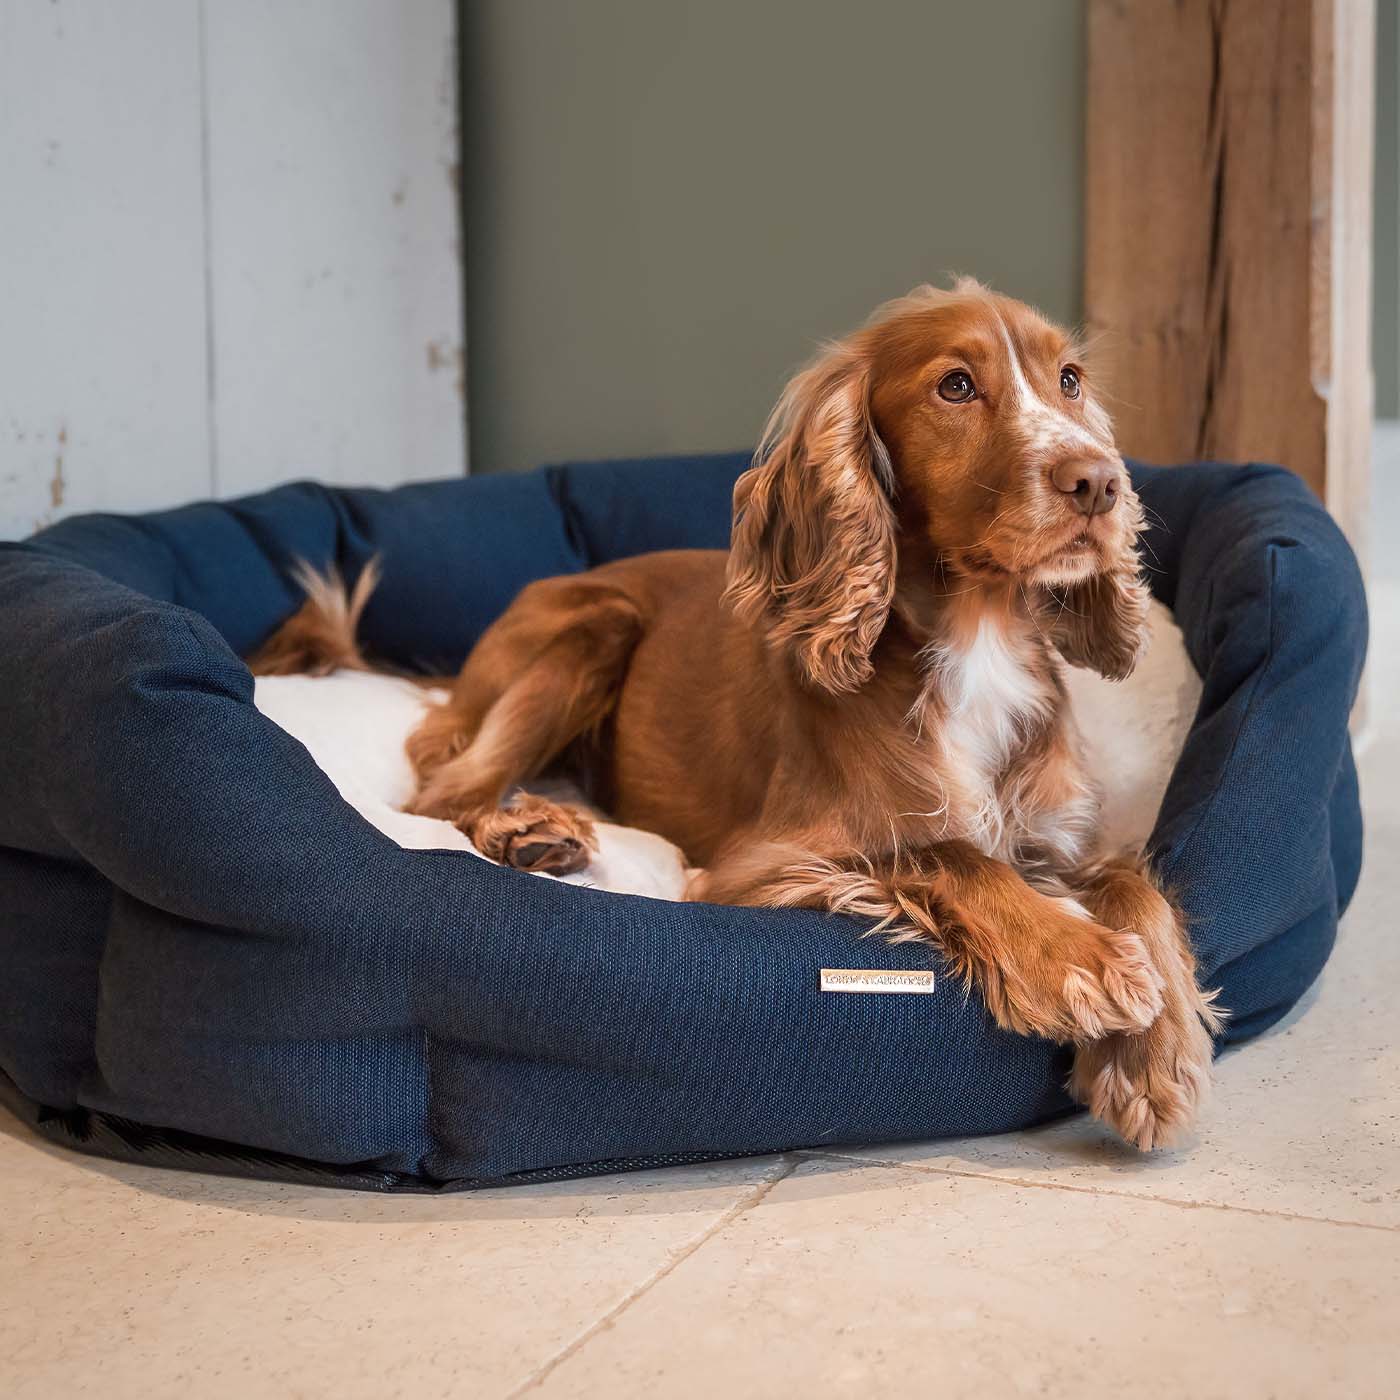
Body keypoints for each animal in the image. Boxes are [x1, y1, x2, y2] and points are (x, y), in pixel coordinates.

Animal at [254, 275, 1226, 1148]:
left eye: (1069, 380)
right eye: (955, 386)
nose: (1099, 483)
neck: (974, 641)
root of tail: (452, 680)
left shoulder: (1056, 842)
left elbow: (1132, 880)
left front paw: (1155, 1056)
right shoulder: (760, 867)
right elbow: (943, 852)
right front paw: (1077, 961)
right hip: (591, 627)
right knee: (441, 796)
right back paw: (530, 831)